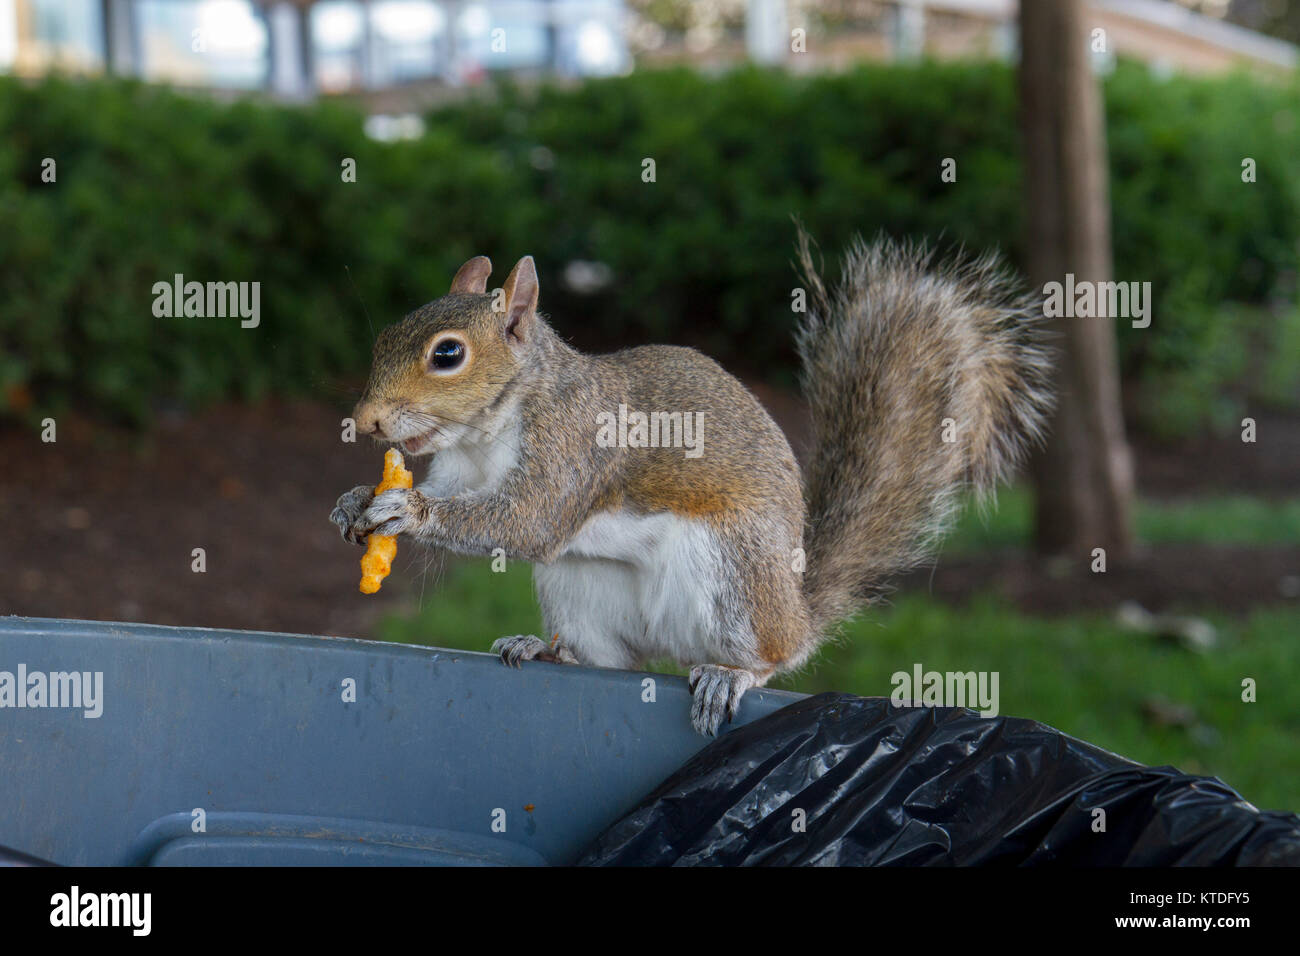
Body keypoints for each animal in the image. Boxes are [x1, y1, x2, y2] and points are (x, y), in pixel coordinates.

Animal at [331, 233, 1054, 735]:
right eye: (388, 333)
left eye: (448, 354)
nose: (365, 420)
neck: (484, 435)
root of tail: (795, 606)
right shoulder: (459, 469)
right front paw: (352, 503)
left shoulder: (572, 451)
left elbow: (526, 521)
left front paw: (406, 513)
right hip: (580, 589)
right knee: (610, 661)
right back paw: (545, 651)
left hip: (731, 569)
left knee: (773, 656)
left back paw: (731, 676)